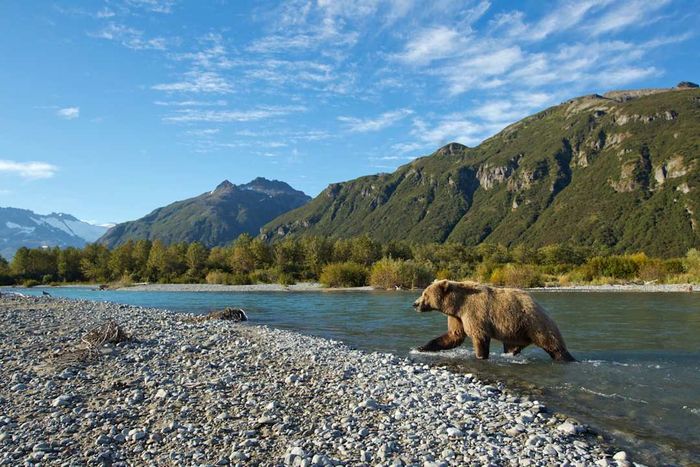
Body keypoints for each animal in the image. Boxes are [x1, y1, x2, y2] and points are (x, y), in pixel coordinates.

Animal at [412, 280, 576, 362]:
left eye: (425, 294)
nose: (415, 304)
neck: (457, 304)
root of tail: (539, 305)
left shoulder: (474, 312)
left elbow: (479, 336)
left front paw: (480, 356)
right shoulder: (457, 317)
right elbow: (454, 335)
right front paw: (421, 347)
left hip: (535, 323)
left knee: (552, 344)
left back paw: (566, 357)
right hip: (515, 330)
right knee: (512, 346)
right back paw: (511, 352)